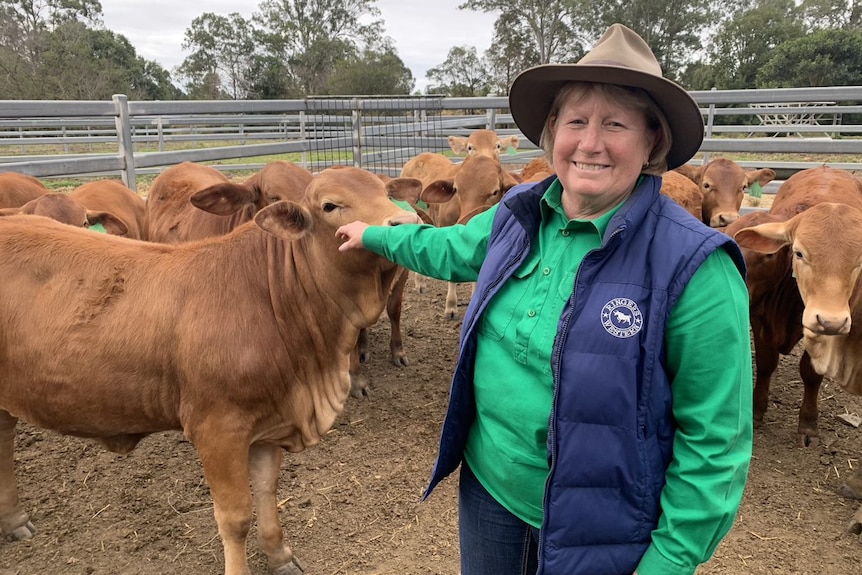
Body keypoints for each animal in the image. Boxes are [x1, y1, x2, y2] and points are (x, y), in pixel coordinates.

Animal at [0, 164, 420, 572]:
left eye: (386, 191)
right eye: (331, 205)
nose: (406, 221)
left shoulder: (272, 420)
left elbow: (266, 491)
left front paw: (280, 556)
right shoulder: (217, 429)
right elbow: (235, 517)